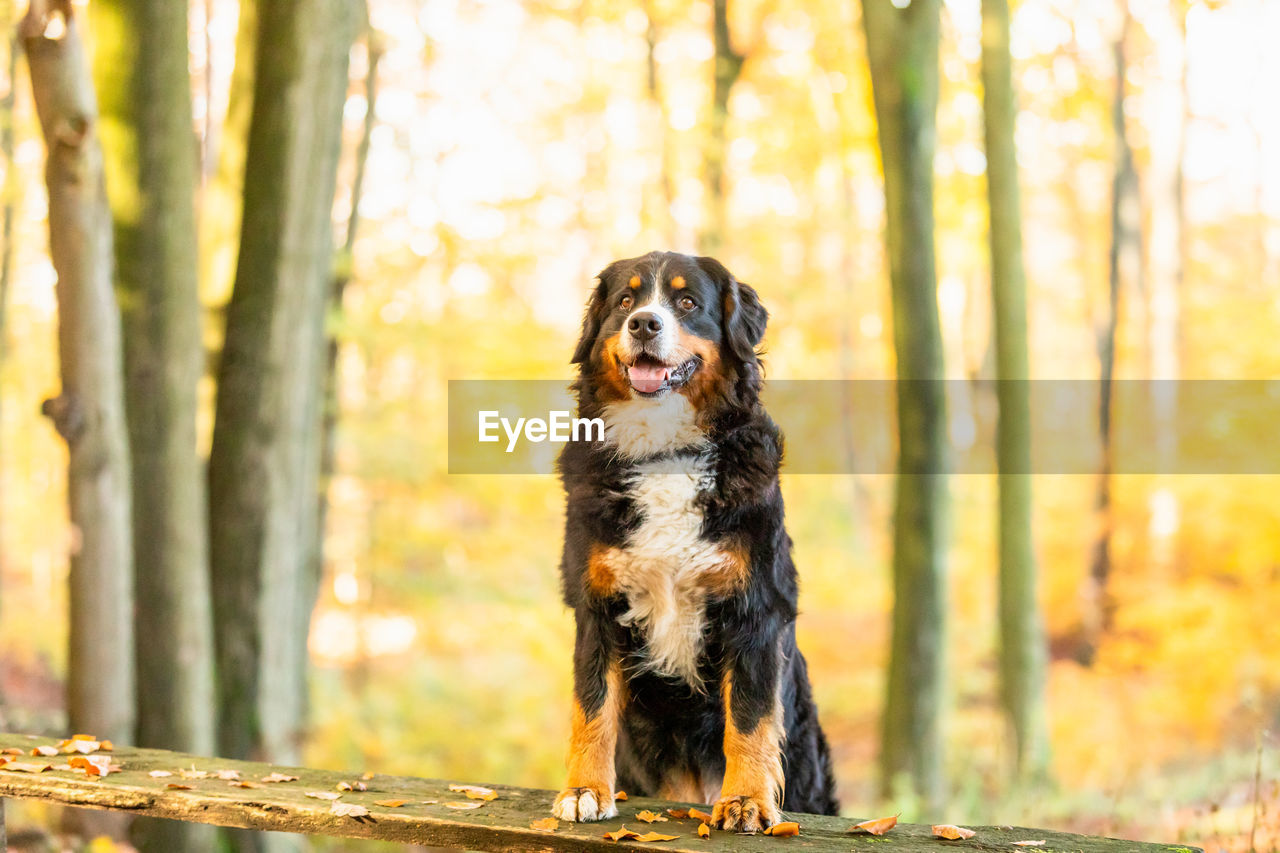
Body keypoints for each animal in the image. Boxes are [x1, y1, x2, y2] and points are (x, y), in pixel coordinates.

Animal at [552, 247, 839, 829]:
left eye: (687, 303)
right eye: (625, 301)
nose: (645, 323)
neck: (666, 452)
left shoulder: (754, 606)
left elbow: (749, 716)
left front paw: (746, 800)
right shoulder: (595, 603)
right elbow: (592, 705)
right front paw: (585, 789)